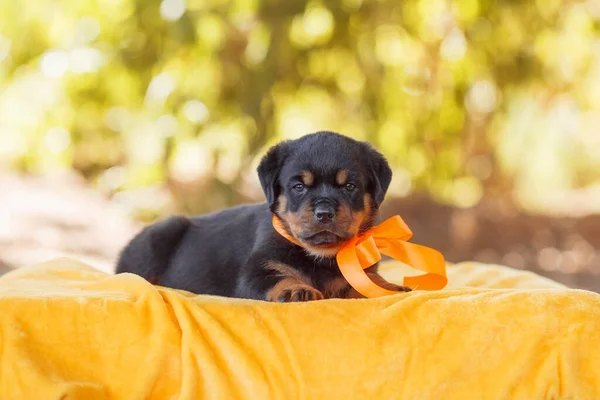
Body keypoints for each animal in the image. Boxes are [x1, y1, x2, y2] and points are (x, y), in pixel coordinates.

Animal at [115, 130, 410, 300]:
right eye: (299, 187)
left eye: (350, 186)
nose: (324, 213)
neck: (321, 257)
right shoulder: (257, 270)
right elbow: (278, 277)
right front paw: (296, 289)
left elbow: (366, 281)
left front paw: (388, 286)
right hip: (159, 235)